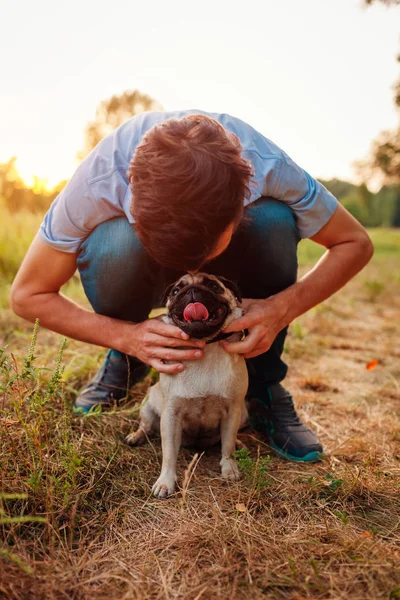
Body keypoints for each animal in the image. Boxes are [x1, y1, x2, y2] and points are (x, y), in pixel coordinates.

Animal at [126, 272, 248, 496]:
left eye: (213, 286)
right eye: (176, 291)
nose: (191, 291)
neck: (205, 347)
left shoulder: (232, 410)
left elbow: (227, 445)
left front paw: (229, 468)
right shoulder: (171, 416)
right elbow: (169, 454)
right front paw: (165, 482)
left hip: (242, 412)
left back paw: (238, 442)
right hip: (148, 406)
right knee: (146, 426)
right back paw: (136, 437)